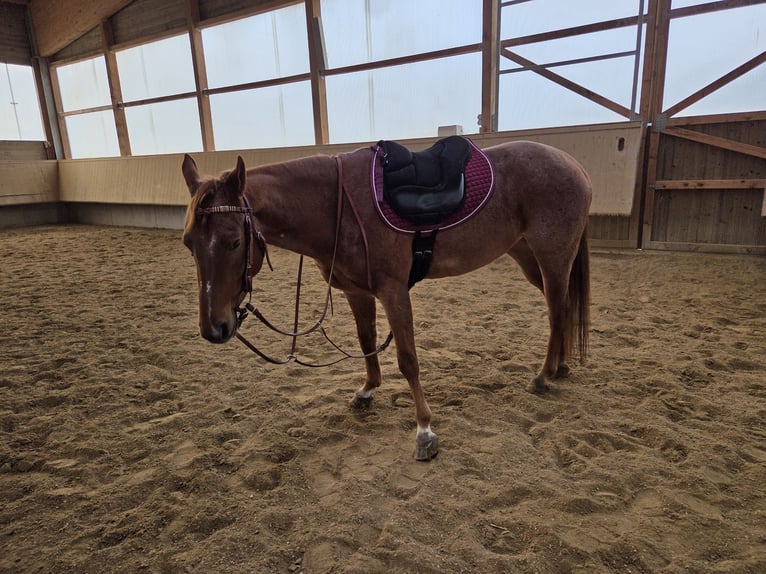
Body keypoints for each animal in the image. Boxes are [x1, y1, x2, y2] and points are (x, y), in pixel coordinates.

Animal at [181, 139, 591, 461]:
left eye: (234, 241)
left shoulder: (393, 291)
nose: (214, 328)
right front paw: (367, 391)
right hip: (527, 256)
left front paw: (425, 431)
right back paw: (560, 367)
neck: (336, 205)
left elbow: (408, 360)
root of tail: (574, 166)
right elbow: (367, 341)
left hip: (552, 258)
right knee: (561, 308)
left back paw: (544, 375)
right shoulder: (357, 291)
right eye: (188, 243)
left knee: (558, 310)